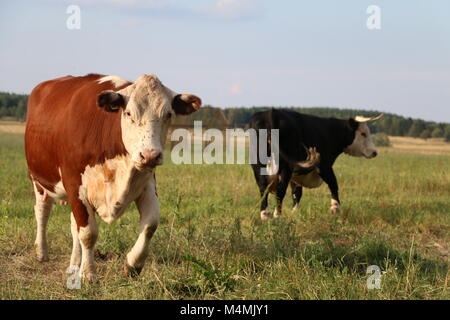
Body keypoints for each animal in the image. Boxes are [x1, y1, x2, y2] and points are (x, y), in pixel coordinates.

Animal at [24, 74, 200, 282]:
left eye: (168, 114)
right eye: (129, 113)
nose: (150, 155)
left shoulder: (147, 183)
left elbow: (150, 225)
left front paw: (132, 264)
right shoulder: (75, 185)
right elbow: (88, 234)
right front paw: (88, 274)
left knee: (73, 225)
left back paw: (74, 264)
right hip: (39, 180)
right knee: (42, 211)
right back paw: (41, 252)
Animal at [250, 108, 384, 220]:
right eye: (363, 133)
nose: (374, 152)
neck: (330, 132)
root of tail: (271, 113)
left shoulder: (297, 174)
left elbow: (296, 193)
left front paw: (294, 212)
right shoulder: (324, 165)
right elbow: (333, 183)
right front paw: (335, 208)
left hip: (258, 165)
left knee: (263, 187)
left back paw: (265, 215)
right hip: (285, 167)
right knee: (280, 190)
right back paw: (277, 215)